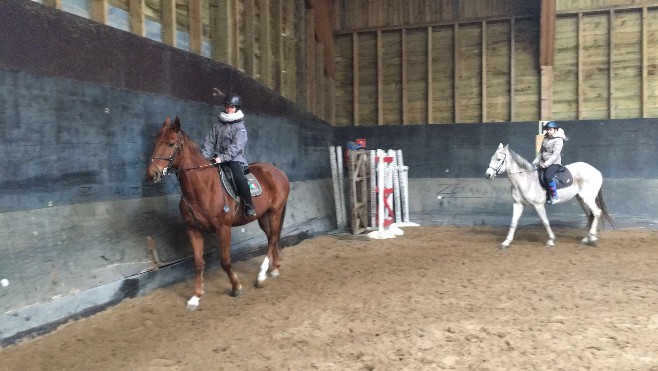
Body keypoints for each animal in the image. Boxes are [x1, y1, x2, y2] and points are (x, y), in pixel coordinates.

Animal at [146, 117, 290, 310]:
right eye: (155, 141)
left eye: (171, 143)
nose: (151, 174)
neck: (203, 186)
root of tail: (278, 172)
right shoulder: (193, 230)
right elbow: (198, 263)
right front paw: (196, 297)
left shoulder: (224, 228)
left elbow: (225, 261)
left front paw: (236, 287)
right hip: (263, 215)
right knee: (271, 237)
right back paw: (275, 268)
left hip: (275, 212)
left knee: (273, 237)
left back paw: (261, 276)